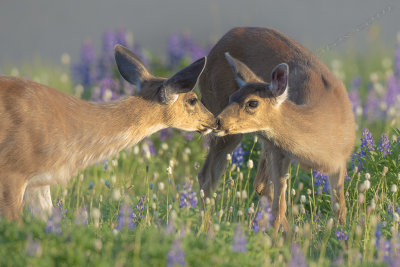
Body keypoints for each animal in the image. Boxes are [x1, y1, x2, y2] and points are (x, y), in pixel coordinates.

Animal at [198, 27, 354, 232]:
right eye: (232, 97)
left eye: (252, 103)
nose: (217, 121)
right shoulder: (278, 150)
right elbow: (279, 204)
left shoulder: (341, 160)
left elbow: (340, 206)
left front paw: (343, 234)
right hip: (229, 129)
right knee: (208, 176)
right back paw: (205, 229)